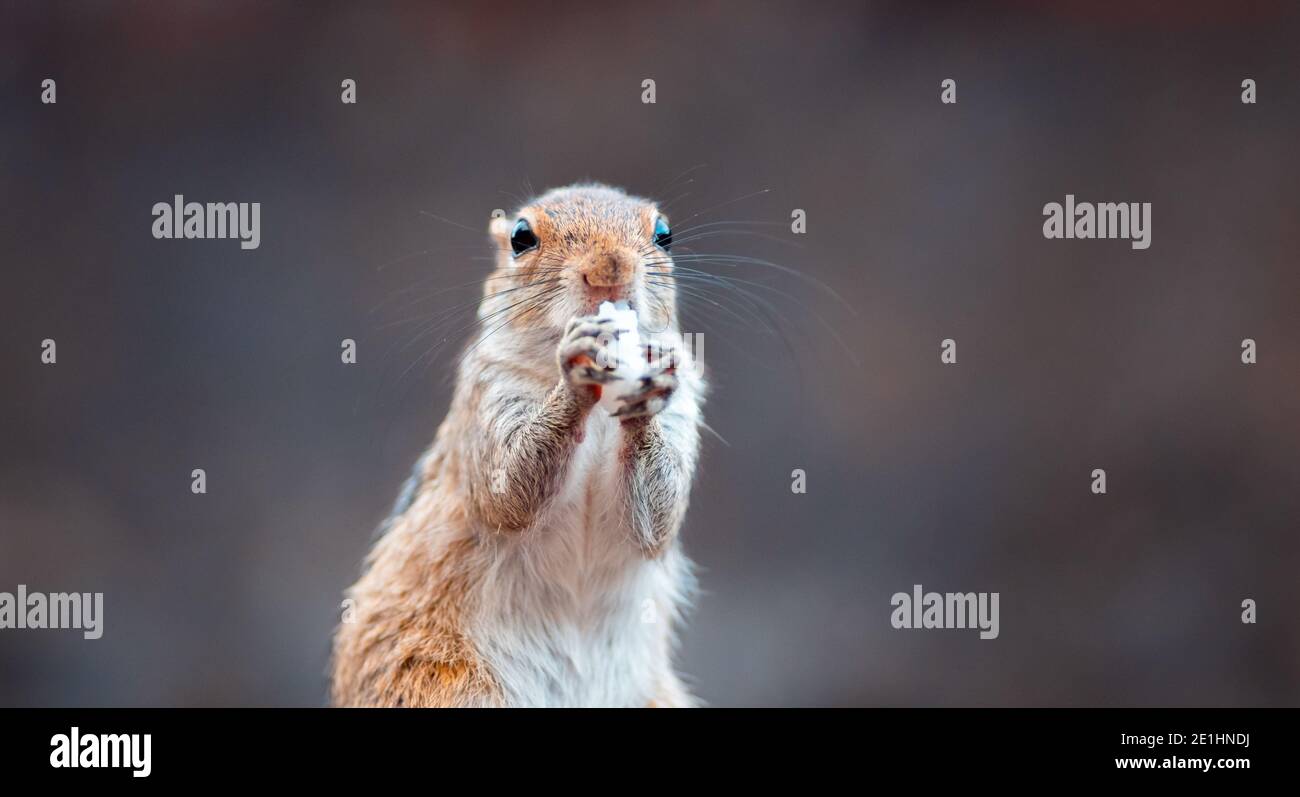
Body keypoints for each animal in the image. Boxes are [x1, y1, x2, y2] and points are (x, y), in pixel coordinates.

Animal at [330, 183, 707, 707]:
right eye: (521, 237)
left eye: (664, 235)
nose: (608, 269)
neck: (601, 413)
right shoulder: (487, 397)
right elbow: (506, 492)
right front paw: (575, 373)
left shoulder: (684, 408)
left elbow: (657, 519)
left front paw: (644, 394)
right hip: (443, 680)